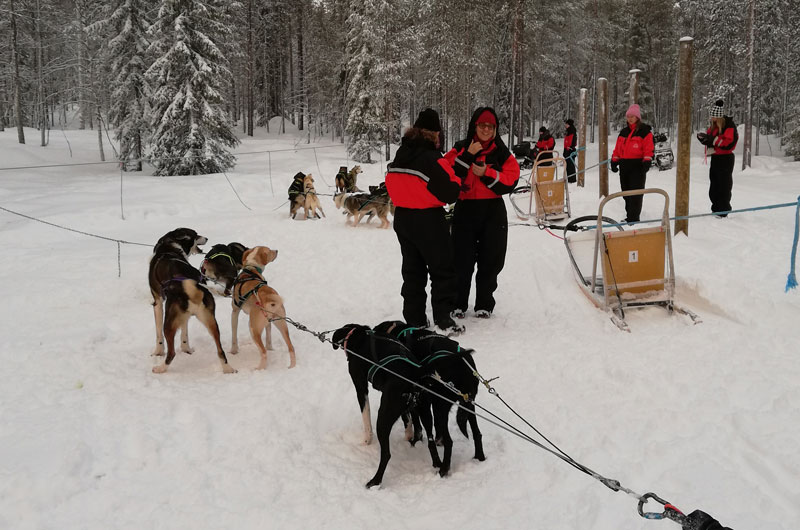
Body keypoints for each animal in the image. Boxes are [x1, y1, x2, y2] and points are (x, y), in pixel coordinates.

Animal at [148, 228, 234, 374]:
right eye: (196, 234)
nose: (206, 238)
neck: (168, 249)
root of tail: (192, 290)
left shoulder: (157, 303)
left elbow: (158, 335)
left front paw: (158, 352)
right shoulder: (185, 316)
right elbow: (185, 333)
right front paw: (186, 349)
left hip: (169, 324)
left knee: (171, 353)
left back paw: (161, 368)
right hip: (211, 322)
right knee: (220, 351)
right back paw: (228, 369)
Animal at [331, 323, 423, 488]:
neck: (358, 335)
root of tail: (411, 381)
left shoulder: (361, 387)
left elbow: (366, 417)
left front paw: (366, 440)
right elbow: (408, 422)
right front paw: (408, 435)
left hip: (383, 418)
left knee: (386, 454)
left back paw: (375, 481)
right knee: (419, 430)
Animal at [374, 320, 485, 477]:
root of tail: (461, 365)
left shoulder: (421, 402)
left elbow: (418, 424)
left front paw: (416, 440)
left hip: (441, 408)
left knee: (450, 441)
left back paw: (444, 469)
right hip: (468, 406)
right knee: (477, 433)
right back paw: (480, 457)